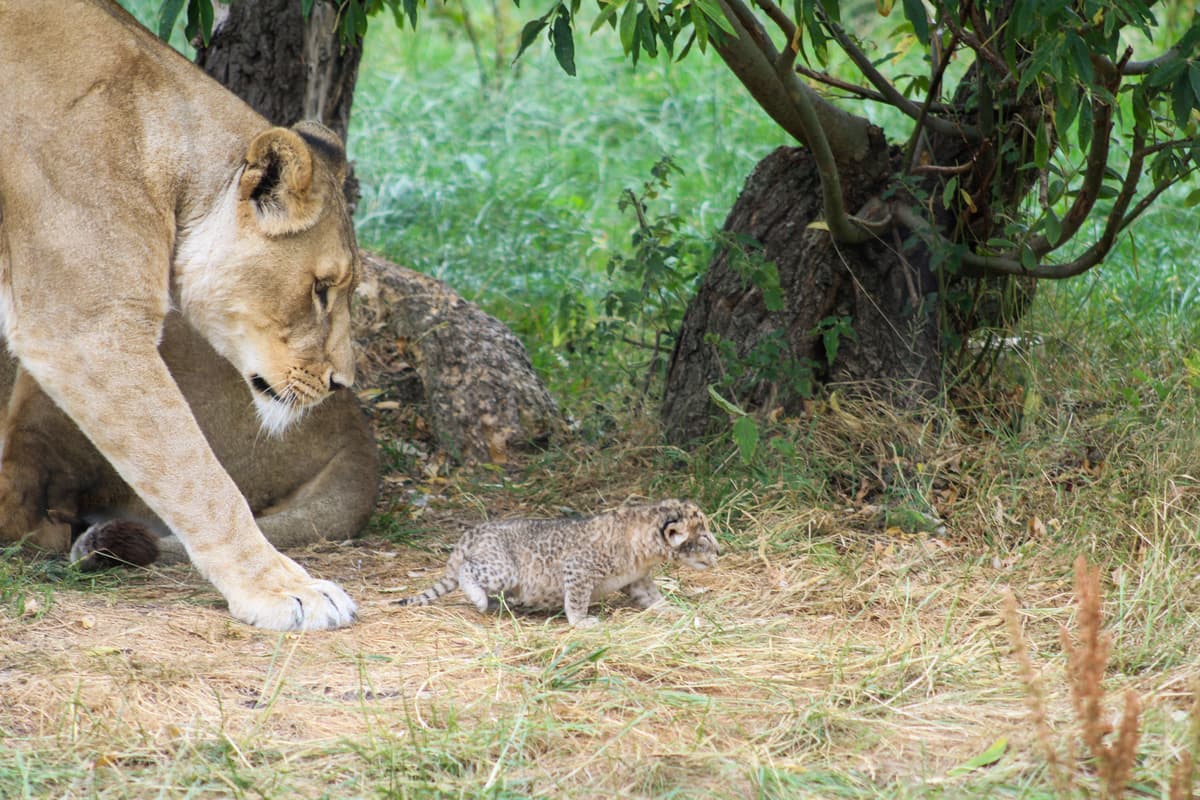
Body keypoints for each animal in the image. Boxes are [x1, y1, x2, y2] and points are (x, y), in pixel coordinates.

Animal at [0, 0, 369, 629]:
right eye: (321, 289)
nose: (341, 381)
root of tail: (360, 433)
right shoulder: (89, 332)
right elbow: (197, 476)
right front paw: (283, 589)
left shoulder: (83, 326)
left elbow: (197, 478)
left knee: (36, 512)